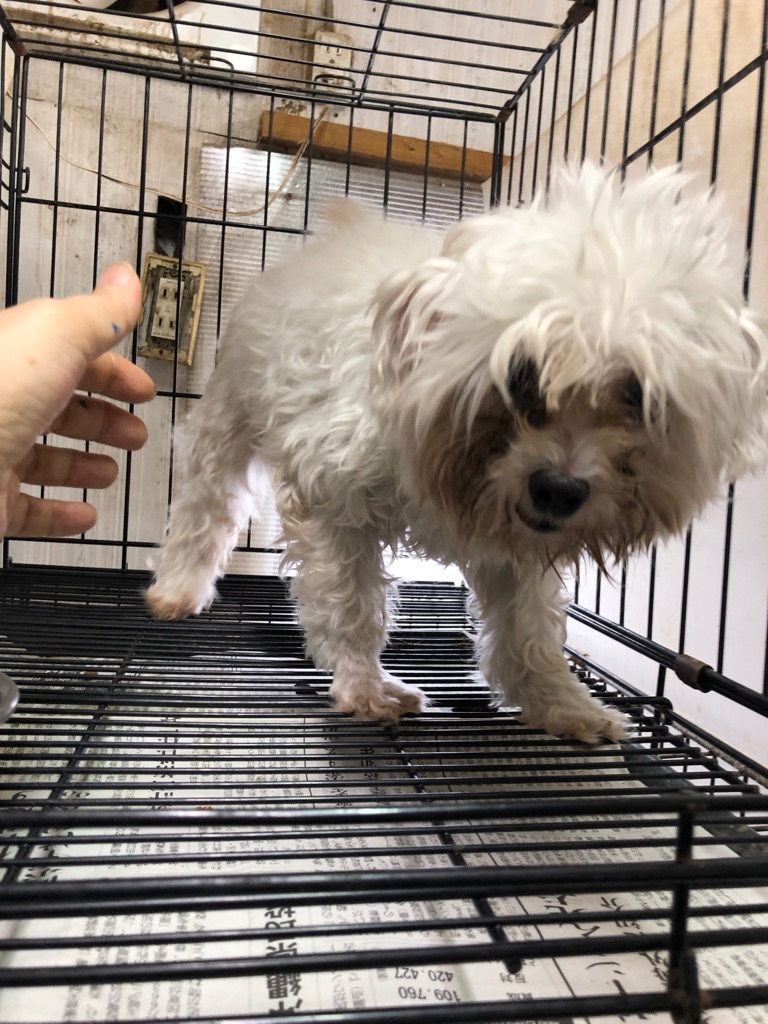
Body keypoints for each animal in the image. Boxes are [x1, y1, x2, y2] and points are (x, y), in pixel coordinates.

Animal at [145, 163, 768, 744]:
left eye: (639, 394)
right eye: (519, 373)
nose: (559, 489)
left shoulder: (520, 549)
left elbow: (529, 634)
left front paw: (564, 705)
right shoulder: (336, 504)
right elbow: (351, 606)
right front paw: (367, 687)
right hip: (230, 412)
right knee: (207, 506)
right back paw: (177, 590)